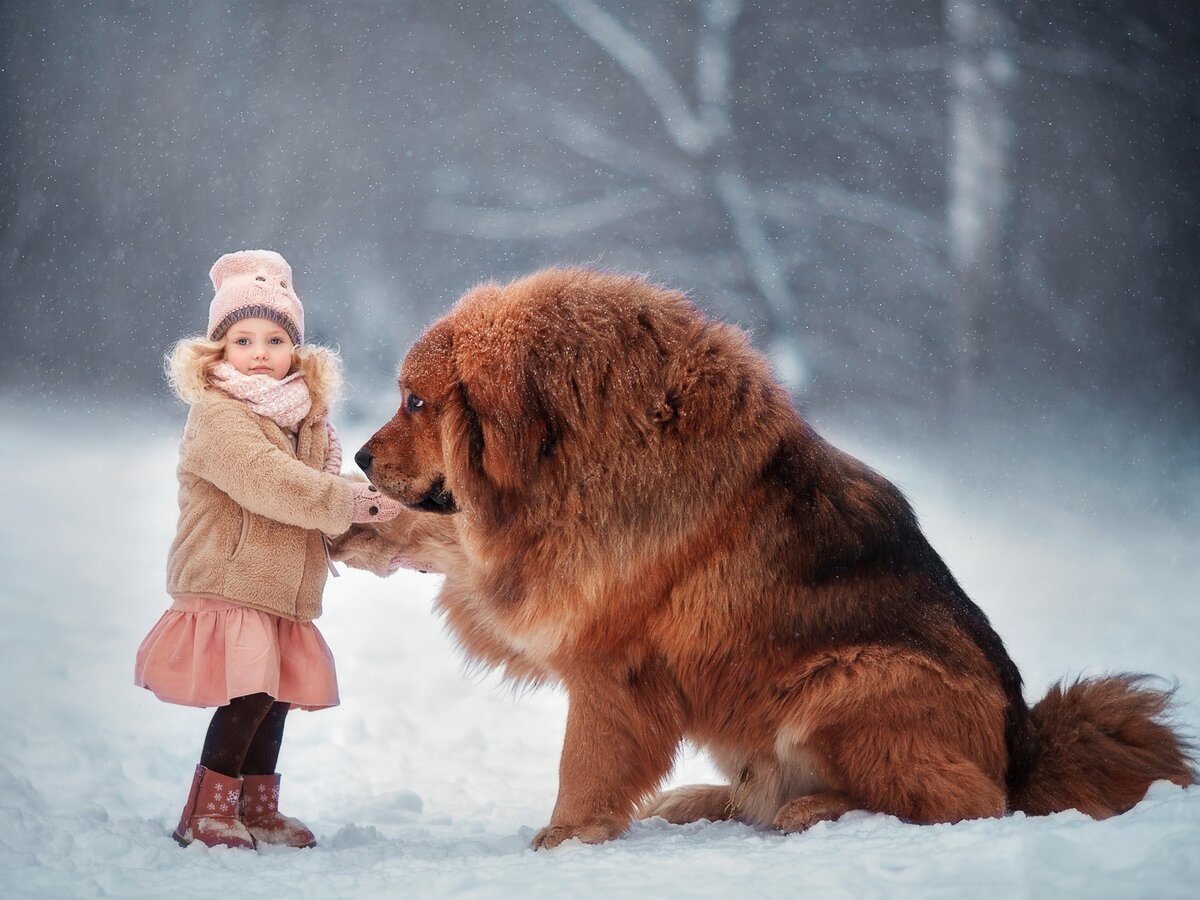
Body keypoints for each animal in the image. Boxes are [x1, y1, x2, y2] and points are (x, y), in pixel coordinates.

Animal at [333, 271, 1195, 849]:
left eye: (416, 401)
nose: (362, 456)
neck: (572, 452)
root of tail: (1024, 750)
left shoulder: (605, 656)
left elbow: (585, 765)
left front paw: (564, 839)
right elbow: (446, 537)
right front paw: (357, 525)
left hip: (850, 680)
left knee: (965, 802)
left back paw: (812, 811)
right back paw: (704, 800)